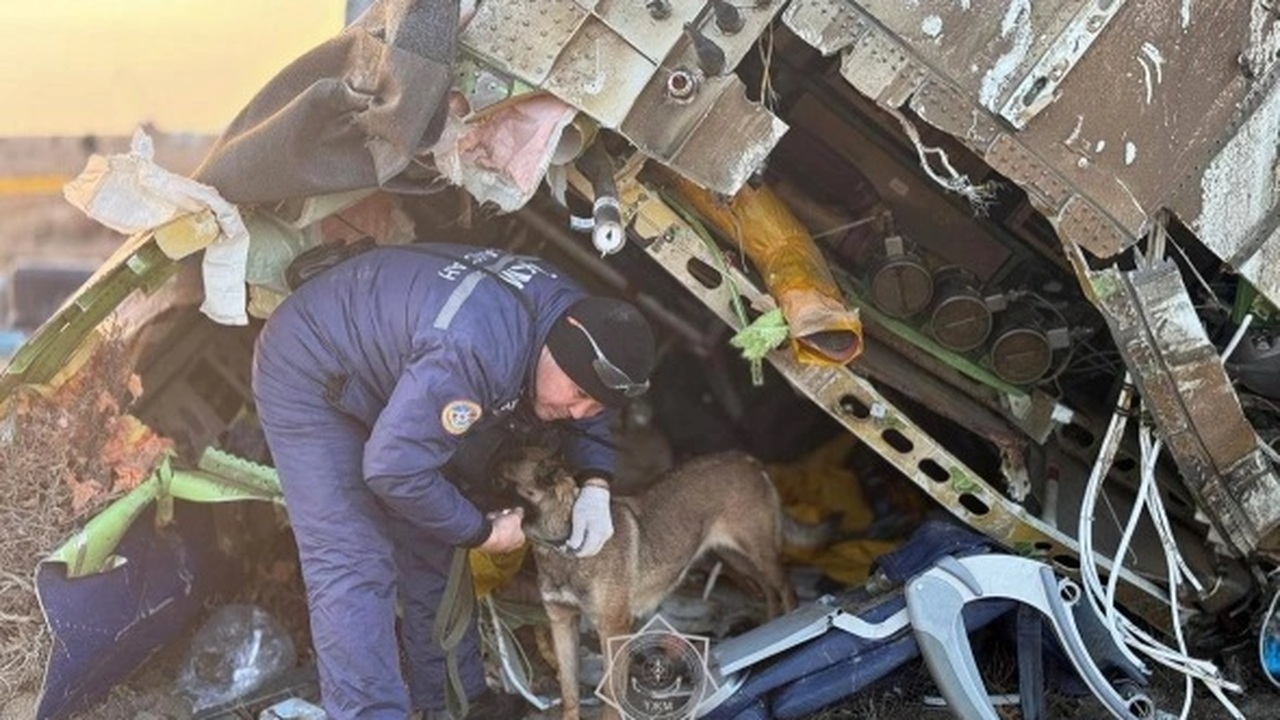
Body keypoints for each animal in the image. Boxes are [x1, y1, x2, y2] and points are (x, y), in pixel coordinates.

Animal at [496, 445, 788, 712]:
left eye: (499, 480)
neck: (564, 545)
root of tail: (746, 459)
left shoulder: (613, 628)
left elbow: (612, 696)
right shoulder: (562, 622)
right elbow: (569, 694)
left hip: (758, 554)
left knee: (787, 590)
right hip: (736, 557)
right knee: (769, 590)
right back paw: (772, 623)